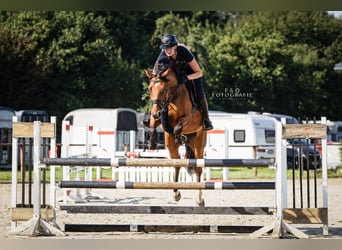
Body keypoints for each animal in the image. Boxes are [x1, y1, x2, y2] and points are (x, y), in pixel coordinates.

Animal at [144, 67, 207, 206]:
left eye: (164, 89)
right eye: (150, 88)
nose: (155, 113)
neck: (172, 98)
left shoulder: (188, 118)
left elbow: (178, 127)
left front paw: (179, 135)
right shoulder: (160, 118)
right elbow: (152, 125)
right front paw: (152, 143)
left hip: (199, 143)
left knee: (198, 169)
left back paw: (199, 199)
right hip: (171, 145)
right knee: (176, 163)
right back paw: (176, 193)